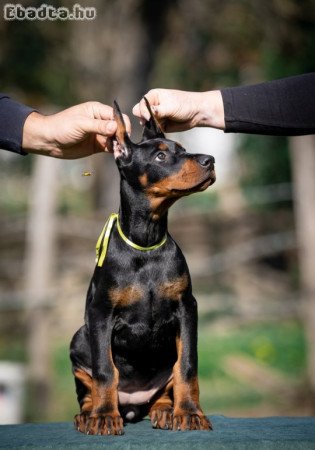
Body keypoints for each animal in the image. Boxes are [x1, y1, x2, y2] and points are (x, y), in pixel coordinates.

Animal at [70, 99, 216, 436]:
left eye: (183, 148)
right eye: (160, 155)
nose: (210, 160)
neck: (146, 243)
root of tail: (132, 405)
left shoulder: (186, 307)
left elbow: (187, 365)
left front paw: (190, 413)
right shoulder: (101, 313)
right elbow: (105, 370)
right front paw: (103, 417)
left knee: (164, 388)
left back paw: (164, 410)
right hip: (79, 338)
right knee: (89, 386)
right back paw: (89, 414)